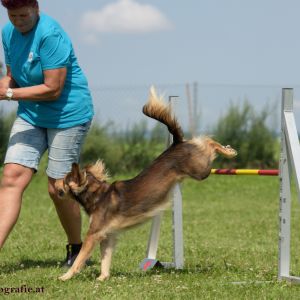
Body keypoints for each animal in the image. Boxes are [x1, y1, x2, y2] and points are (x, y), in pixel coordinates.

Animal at [56, 86, 237, 282]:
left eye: (64, 180)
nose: (54, 181)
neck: (97, 195)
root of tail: (176, 144)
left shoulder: (93, 234)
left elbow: (79, 259)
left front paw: (65, 276)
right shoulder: (107, 235)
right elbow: (105, 259)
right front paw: (102, 278)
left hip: (201, 170)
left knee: (207, 142)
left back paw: (228, 150)